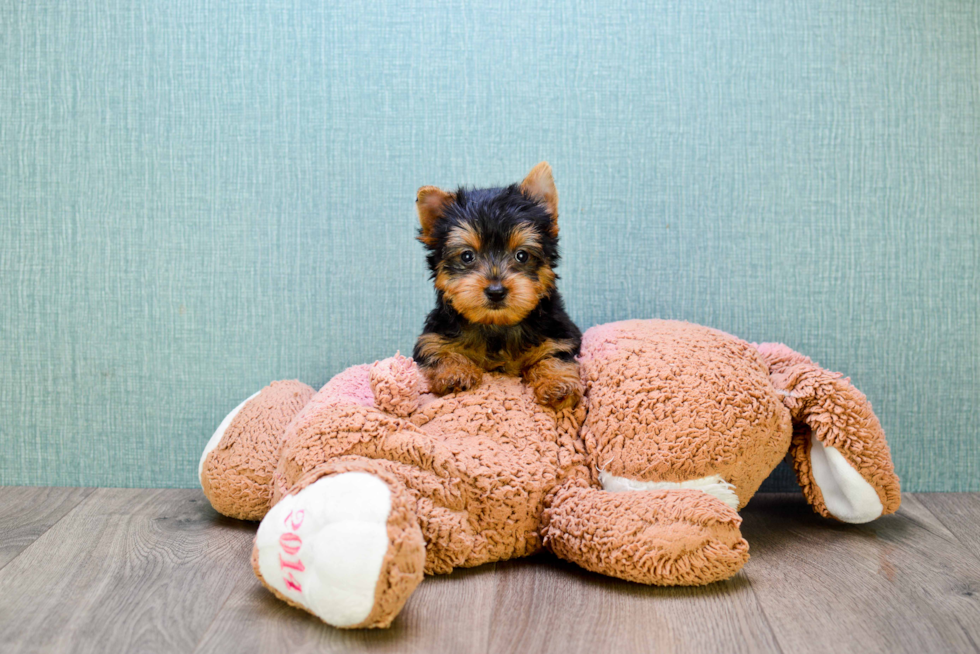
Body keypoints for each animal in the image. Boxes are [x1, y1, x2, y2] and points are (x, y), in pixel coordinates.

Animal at [412, 163, 580, 410]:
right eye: (467, 256)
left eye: (522, 255)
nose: (496, 291)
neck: (496, 325)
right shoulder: (433, 338)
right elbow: (440, 352)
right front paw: (455, 373)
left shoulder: (559, 334)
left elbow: (555, 355)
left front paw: (559, 384)